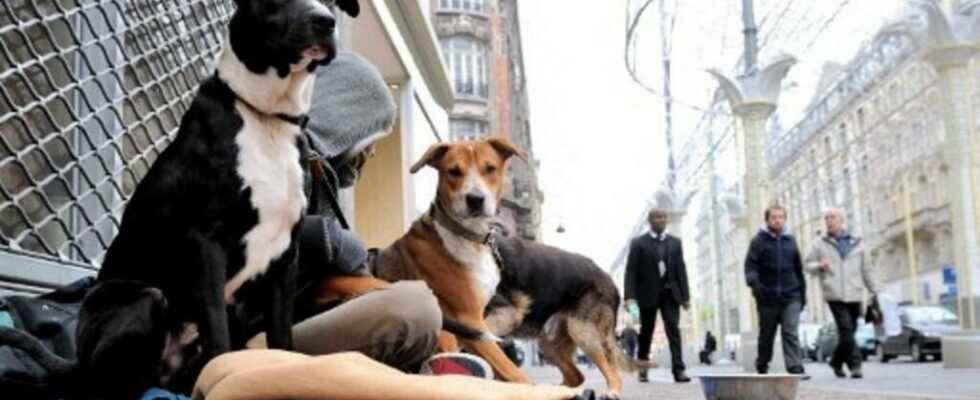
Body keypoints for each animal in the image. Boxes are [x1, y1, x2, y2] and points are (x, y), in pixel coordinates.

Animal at [77, 0, 360, 394]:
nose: (324, 22)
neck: (267, 118)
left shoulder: (285, 258)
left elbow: (281, 337)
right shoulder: (207, 243)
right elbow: (219, 339)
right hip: (143, 299)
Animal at [368, 138, 532, 384]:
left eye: (490, 169)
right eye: (453, 172)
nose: (475, 199)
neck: (468, 236)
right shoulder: (469, 320)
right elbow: (515, 373)